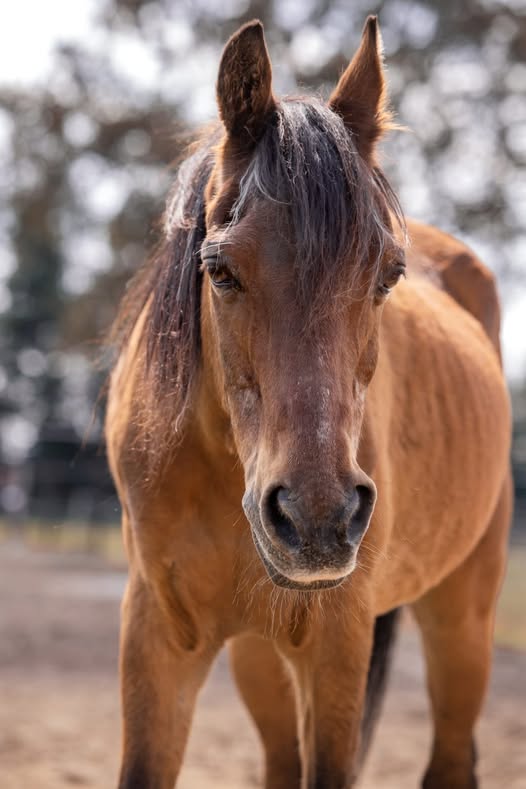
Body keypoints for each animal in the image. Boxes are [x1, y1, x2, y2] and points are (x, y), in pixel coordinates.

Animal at [107, 16, 516, 788]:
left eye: (388, 275)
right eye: (219, 269)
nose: (317, 519)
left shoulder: (334, 646)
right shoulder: (158, 638)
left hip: (462, 622)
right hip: (259, 656)